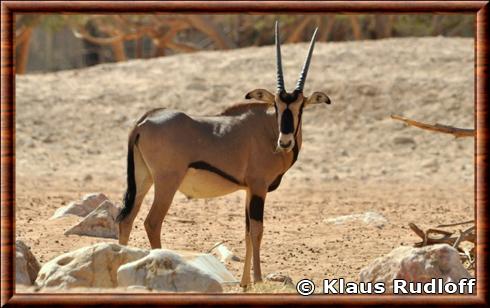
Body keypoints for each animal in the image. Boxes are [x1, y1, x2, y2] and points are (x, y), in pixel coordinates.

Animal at [117, 22, 332, 286]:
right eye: (277, 105)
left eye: (300, 106)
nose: (285, 141)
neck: (268, 128)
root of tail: (144, 120)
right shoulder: (259, 187)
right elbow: (257, 230)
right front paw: (258, 280)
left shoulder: (249, 190)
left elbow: (247, 231)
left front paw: (245, 283)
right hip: (167, 181)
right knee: (152, 222)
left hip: (143, 178)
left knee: (127, 219)